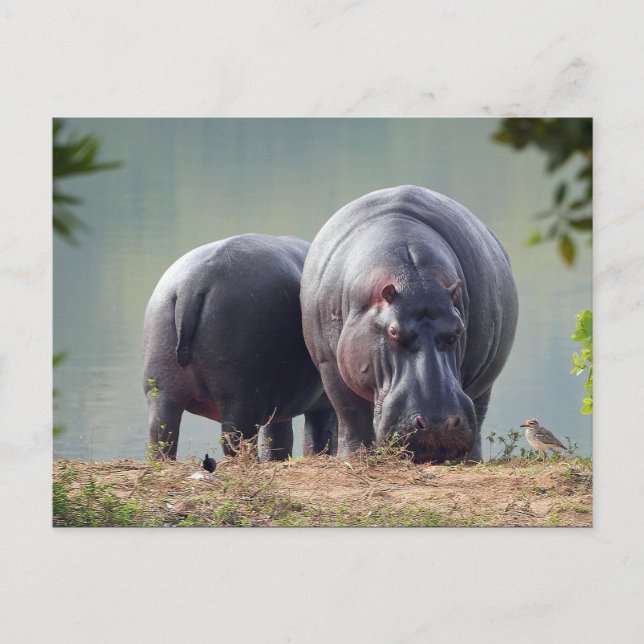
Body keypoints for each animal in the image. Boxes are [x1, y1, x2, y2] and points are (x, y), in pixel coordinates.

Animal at [143, 233, 337, 460]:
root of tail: (190, 287)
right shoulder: (322, 403)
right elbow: (319, 437)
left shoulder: (279, 404)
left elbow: (278, 438)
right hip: (240, 398)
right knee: (235, 438)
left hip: (161, 387)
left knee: (160, 432)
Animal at [300, 186, 518, 463]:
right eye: (393, 332)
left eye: (457, 330)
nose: (438, 425)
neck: (414, 278)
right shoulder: (329, 364)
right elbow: (350, 415)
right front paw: (352, 458)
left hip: (484, 381)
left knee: (478, 414)